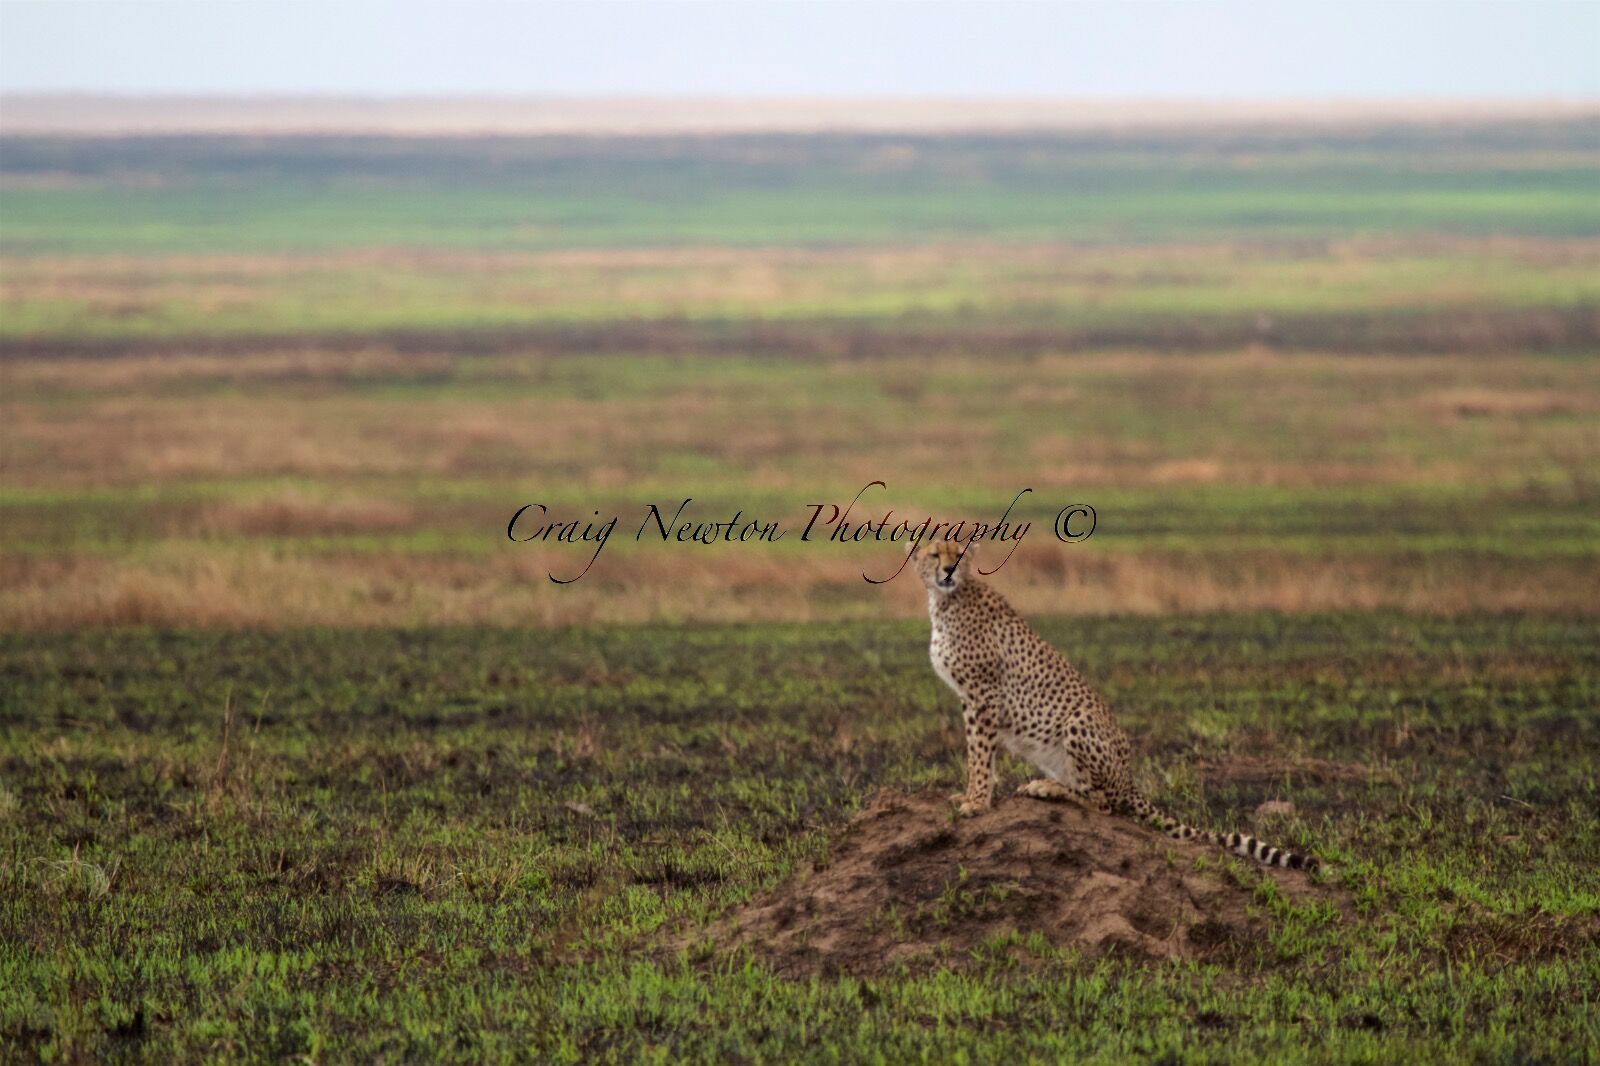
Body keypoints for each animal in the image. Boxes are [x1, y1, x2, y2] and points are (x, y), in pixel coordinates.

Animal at [911, 537, 1317, 871]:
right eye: (935, 553)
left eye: (958, 554)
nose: (948, 570)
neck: (946, 600)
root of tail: (1130, 779)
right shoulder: (971, 698)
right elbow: (977, 753)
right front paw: (970, 795)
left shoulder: (984, 694)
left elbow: (980, 753)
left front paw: (976, 802)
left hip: (1079, 721)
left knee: (1103, 803)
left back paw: (1047, 788)